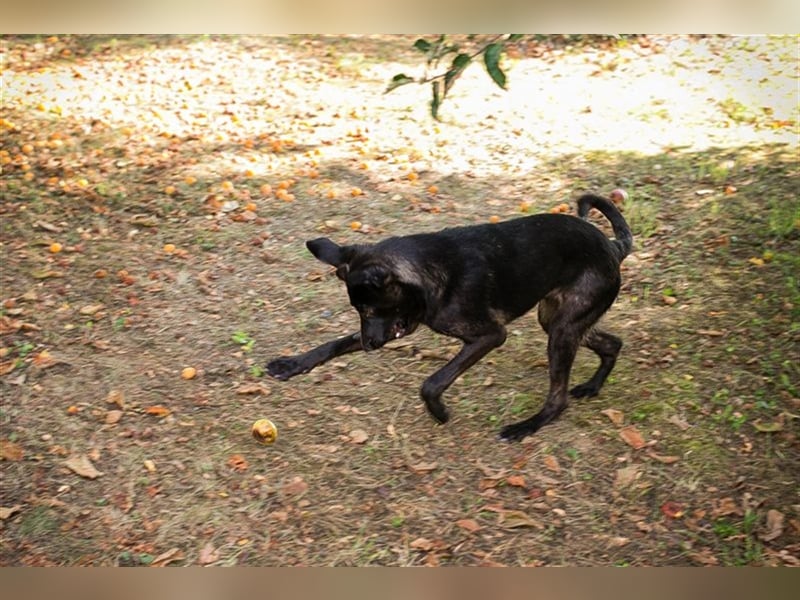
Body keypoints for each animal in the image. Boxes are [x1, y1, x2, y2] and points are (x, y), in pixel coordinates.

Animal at [268, 193, 632, 440]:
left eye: (370, 309)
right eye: (357, 311)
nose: (370, 345)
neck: (429, 274)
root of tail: (613, 247)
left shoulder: (490, 336)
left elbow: (432, 382)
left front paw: (439, 412)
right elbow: (333, 344)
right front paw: (292, 363)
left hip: (562, 330)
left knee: (558, 398)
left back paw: (526, 426)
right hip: (556, 319)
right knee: (613, 343)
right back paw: (592, 387)